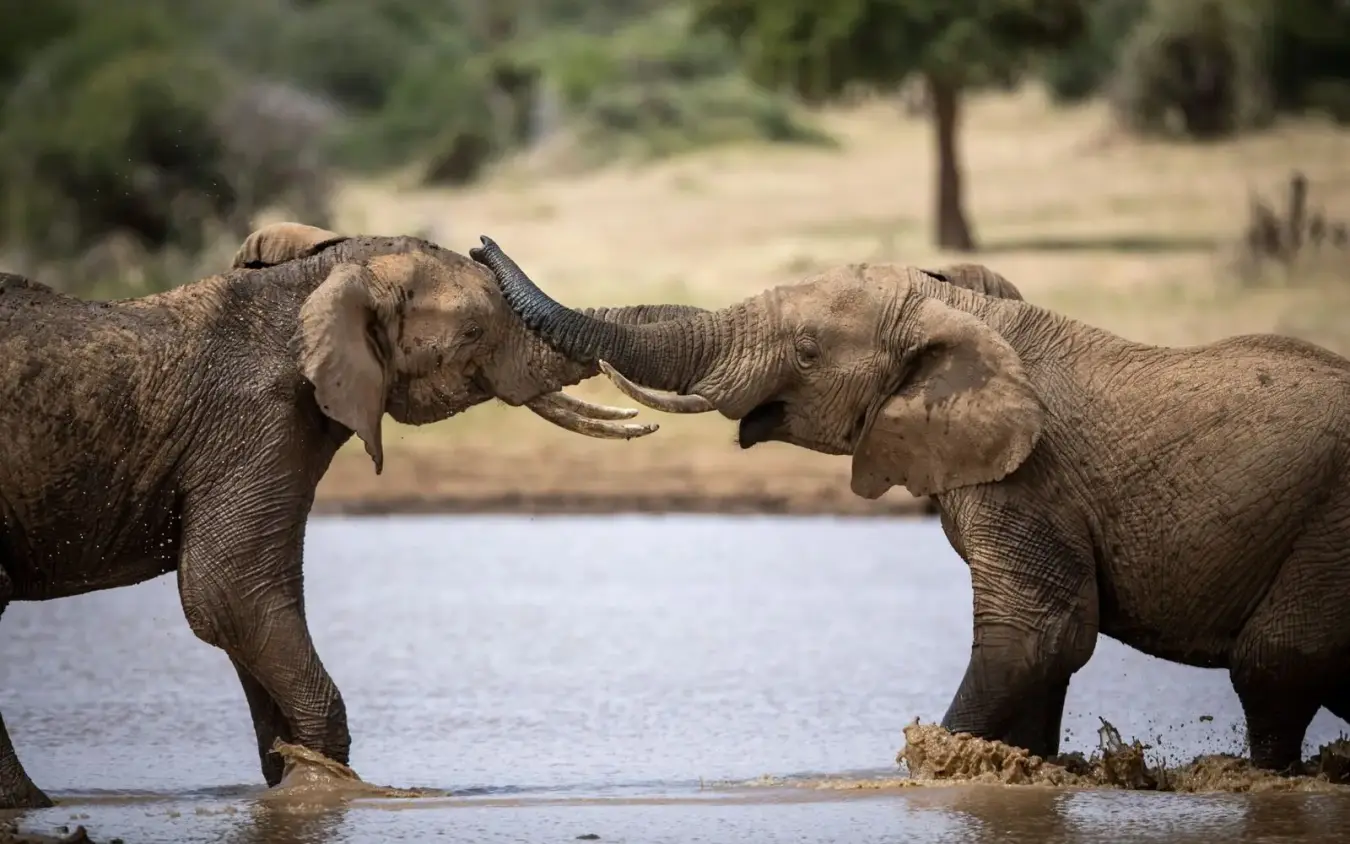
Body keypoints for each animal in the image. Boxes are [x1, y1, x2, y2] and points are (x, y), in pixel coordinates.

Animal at [0, 221, 711, 808]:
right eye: (476, 332)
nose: (484, 242)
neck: (307, 283)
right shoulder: (255, 421)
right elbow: (229, 590)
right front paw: (323, 786)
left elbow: (248, 606)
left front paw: (293, 781)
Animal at [472, 235, 1350, 774]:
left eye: (807, 352)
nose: (480, 248)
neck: (971, 313)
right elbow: (1047, 657)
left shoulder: (1033, 478)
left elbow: (1037, 637)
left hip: (1330, 529)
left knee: (1272, 664)